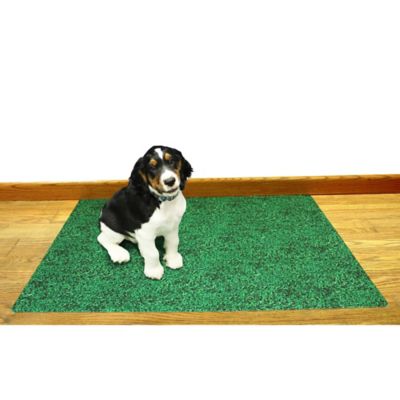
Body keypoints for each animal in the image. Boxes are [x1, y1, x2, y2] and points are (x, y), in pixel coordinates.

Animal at [97, 145, 193, 280]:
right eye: (152, 167)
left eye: (172, 161)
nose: (170, 181)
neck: (162, 202)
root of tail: (101, 215)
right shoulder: (145, 232)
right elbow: (153, 253)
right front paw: (154, 271)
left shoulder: (173, 227)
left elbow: (173, 242)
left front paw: (173, 259)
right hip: (115, 230)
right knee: (102, 238)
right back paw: (119, 254)